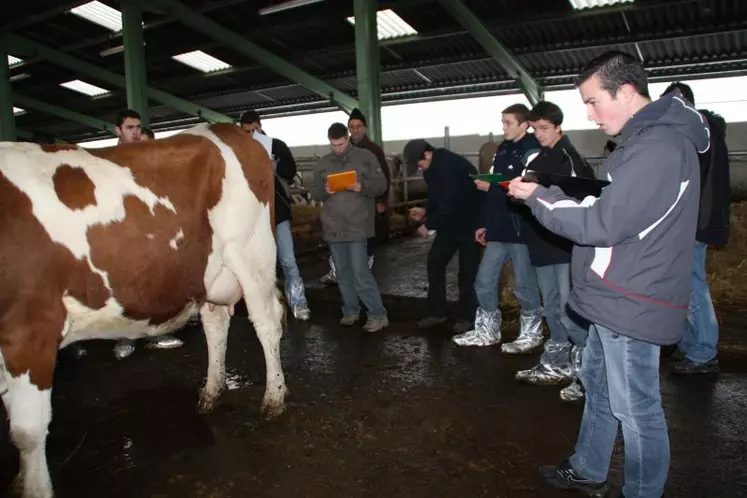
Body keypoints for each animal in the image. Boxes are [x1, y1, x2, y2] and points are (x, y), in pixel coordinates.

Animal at [0, 121, 288, 498]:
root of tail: (224, 128)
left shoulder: (30, 330)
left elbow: (27, 432)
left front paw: (33, 487)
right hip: (209, 273)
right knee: (216, 324)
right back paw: (212, 391)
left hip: (253, 255)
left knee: (267, 323)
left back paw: (274, 397)